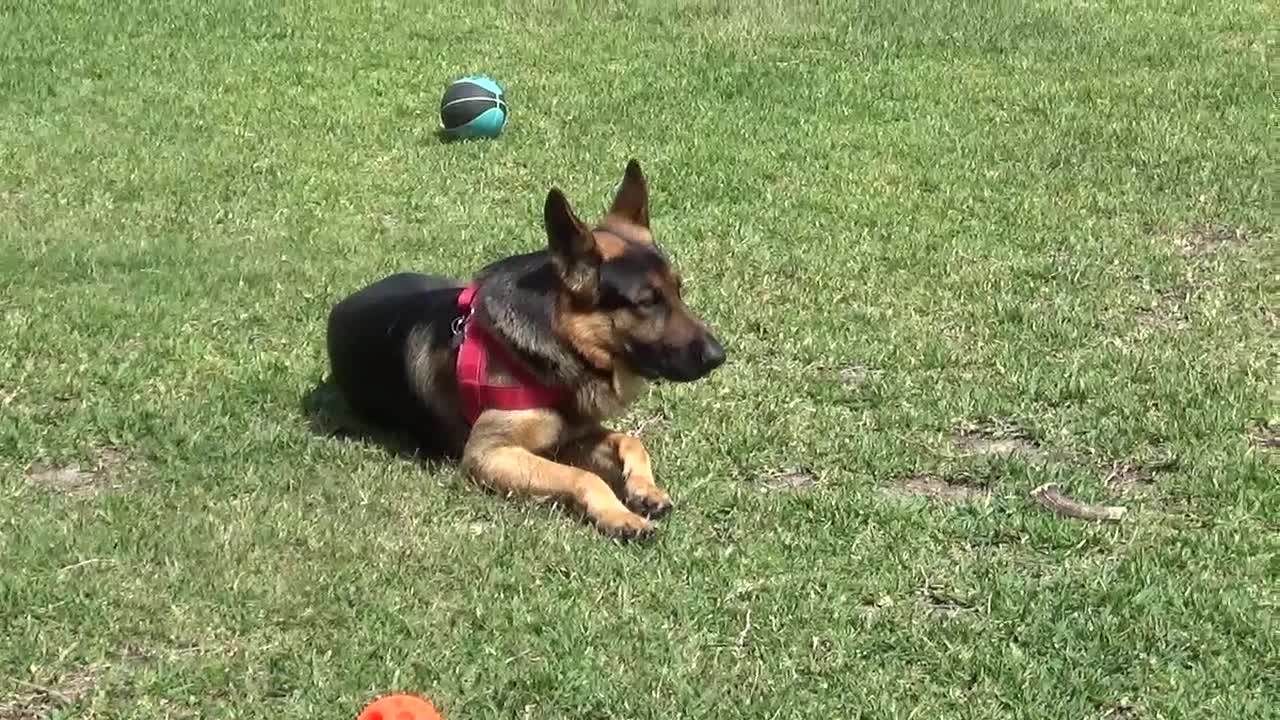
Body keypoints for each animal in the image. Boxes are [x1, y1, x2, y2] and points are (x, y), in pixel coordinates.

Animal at [325, 158, 727, 538]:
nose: (718, 356)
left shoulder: (571, 435)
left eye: (678, 290)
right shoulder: (489, 454)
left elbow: (630, 441)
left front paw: (645, 489)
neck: (560, 344)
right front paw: (619, 515)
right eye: (646, 302)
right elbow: (582, 476)